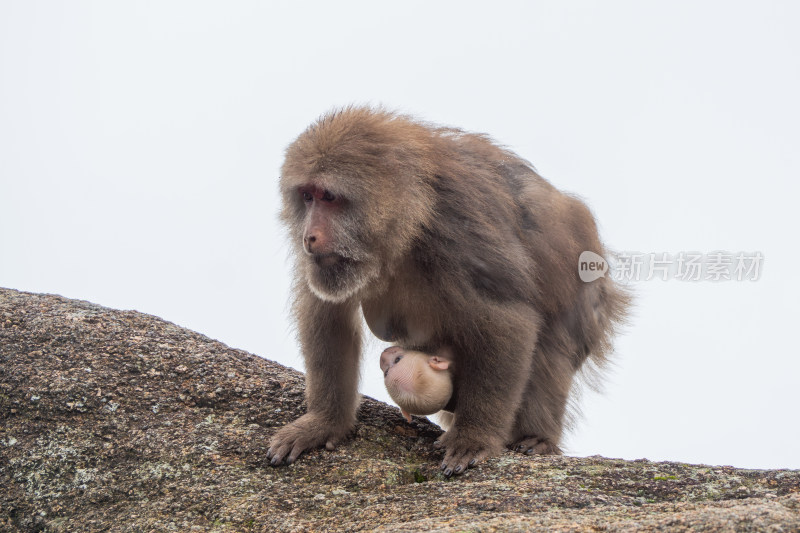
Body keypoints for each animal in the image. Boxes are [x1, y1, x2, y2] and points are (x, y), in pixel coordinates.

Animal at [268, 107, 632, 474]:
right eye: (307, 196)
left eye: (329, 197)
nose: (309, 236)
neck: (408, 221)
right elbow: (329, 315)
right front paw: (324, 423)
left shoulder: (456, 231)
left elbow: (508, 320)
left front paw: (474, 437)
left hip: (589, 296)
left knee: (550, 348)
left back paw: (538, 437)